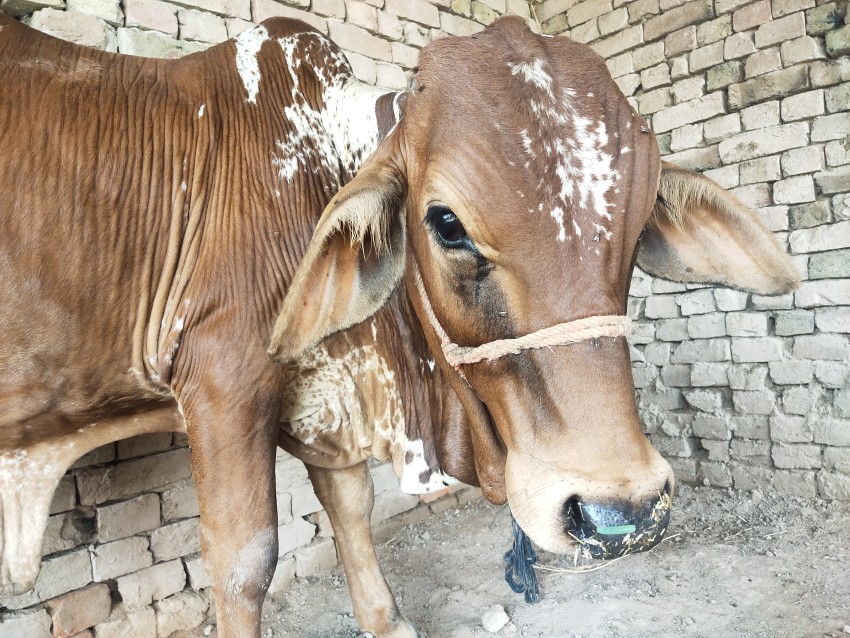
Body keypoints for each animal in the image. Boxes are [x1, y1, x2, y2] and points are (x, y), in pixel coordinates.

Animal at [0, 12, 799, 638]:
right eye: (445, 223)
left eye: (637, 230)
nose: (621, 511)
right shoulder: (222, 383)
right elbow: (243, 563)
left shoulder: (324, 396)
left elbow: (349, 506)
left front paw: (386, 621)